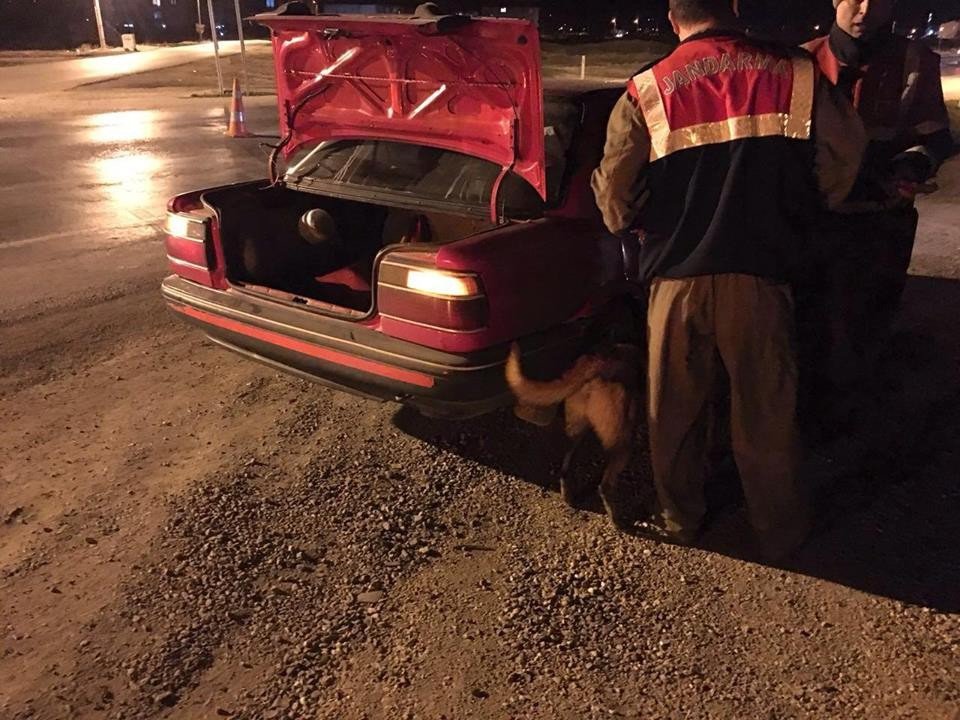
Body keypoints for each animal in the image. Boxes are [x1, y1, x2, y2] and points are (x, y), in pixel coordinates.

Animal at [506, 344, 640, 528]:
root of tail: (597, 365)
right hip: (622, 444)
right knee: (605, 486)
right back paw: (618, 522)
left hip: (576, 431)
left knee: (565, 468)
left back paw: (568, 497)